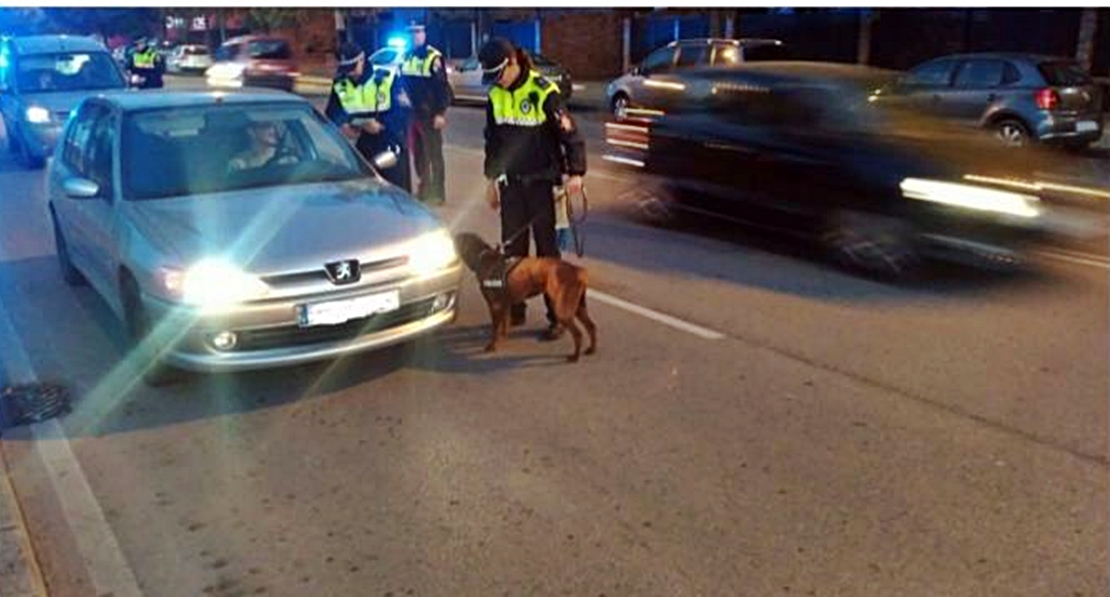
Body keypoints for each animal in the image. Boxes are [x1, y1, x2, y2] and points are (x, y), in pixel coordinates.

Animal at [455, 230, 599, 361]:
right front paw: (502, 339)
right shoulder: (505, 305)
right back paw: (591, 349)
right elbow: (504, 327)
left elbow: (495, 329)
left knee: (578, 334)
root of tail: (579, 271)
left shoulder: (495, 306)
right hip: (579, 307)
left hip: (561, 309)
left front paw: (492, 345)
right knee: (591, 326)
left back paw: (574, 356)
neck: (483, 257)